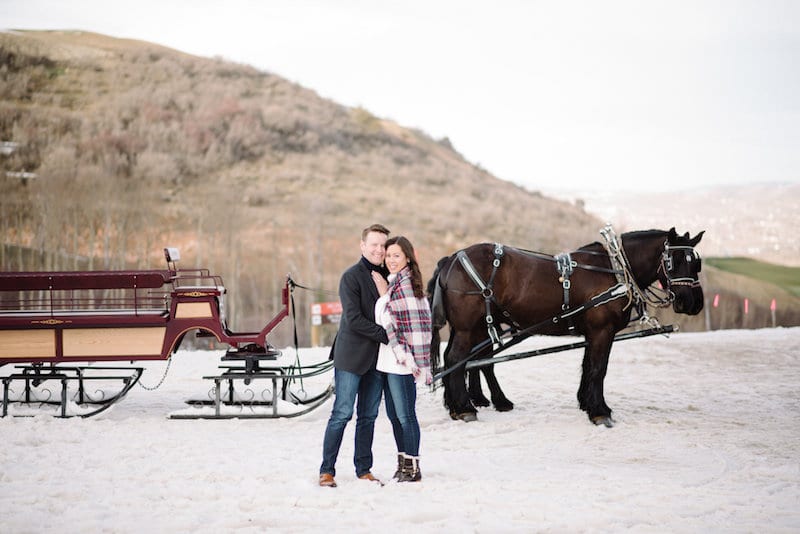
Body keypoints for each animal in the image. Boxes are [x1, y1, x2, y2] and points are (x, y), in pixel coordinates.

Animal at [428, 228, 704, 430]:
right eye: (674, 261)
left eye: (696, 264)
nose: (694, 303)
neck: (614, 270)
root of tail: (450, 259)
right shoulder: (602, 331)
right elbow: (598, 369)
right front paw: (599, 412)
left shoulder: (593, 333)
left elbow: (587, 367)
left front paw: (587, 403)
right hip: (470, 327)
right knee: (457, 359)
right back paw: (466, 408)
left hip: (475, 327)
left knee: (464, 360)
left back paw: (466, 404)